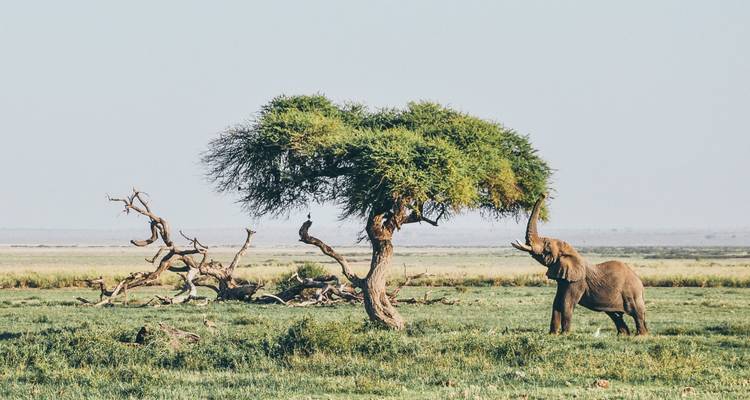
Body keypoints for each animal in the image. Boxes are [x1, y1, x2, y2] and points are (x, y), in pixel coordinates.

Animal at [511, 194, 648, 335]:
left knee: (637, 313)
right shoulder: (564, 279)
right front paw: (553, 334)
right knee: (615, 315)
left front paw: (565, 334)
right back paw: (624, 335)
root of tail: (640, 282)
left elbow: (566, 303)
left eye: (547, 247)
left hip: (632, 292)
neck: (571, 253)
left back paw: (641, 336)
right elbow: (556, 302)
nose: (544, 194)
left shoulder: (577, 282)